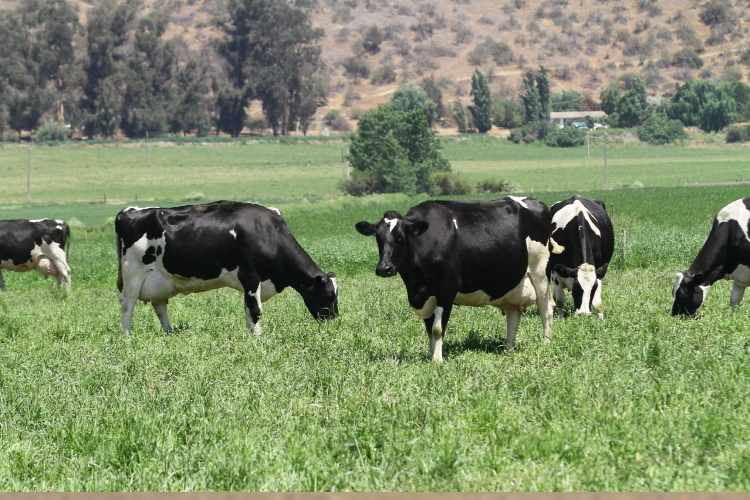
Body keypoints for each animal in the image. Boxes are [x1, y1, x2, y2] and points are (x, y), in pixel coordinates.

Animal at [116, 201, 340, 334]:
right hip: (132, 274)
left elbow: (248, 309)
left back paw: (170, 332)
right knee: (127, 304)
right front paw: (258, 338)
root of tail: (128, 212)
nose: (334, 321)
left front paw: (250, 334)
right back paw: (128, 335)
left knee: (159, 305)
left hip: (160, 279)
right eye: (329, 295)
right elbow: (256, 310)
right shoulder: (250, 275)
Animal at [356, 195, 556, 360]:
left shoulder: (446, 289)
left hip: (540, 271)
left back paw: (546, 343)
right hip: (513, 283)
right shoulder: (425, 295)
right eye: (378, 238)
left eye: (401, 238)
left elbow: (437, 329)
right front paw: (431, 356)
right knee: (513, 316)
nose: (384, 268)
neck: (415, 284)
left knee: (546, 308)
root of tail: (535, 202)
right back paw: (508, 349)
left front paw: (437, 360)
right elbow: (429, 329)